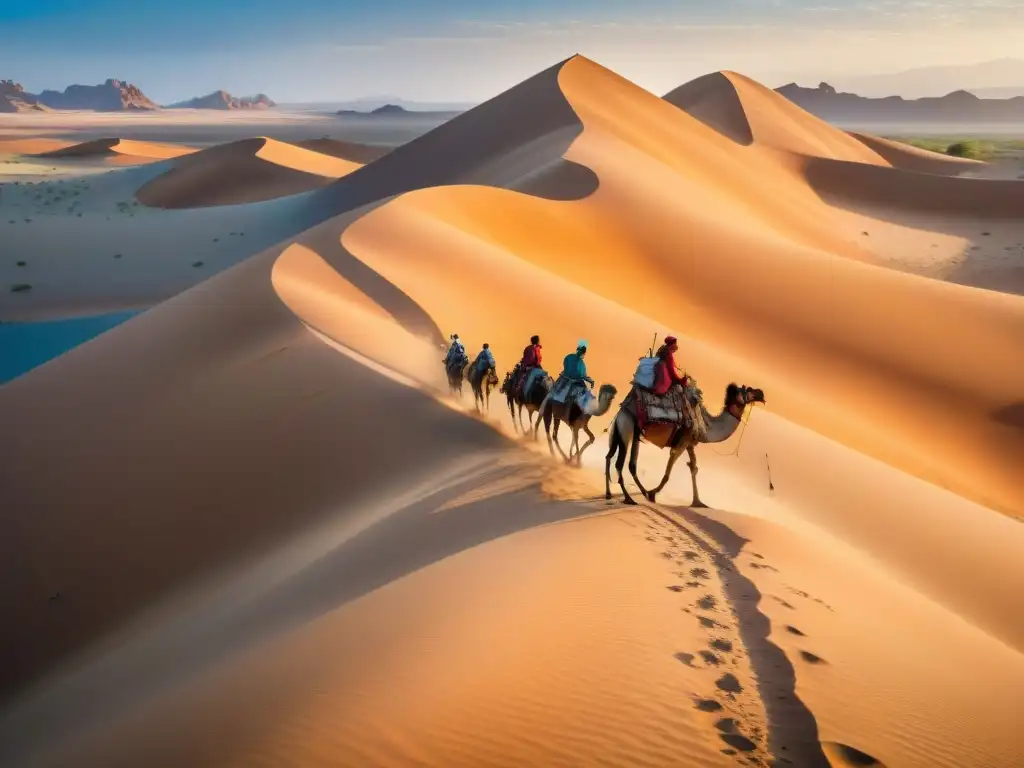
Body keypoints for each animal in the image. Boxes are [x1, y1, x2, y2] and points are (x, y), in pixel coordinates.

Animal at [602, 382, 765, 507]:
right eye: (748, 390)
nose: (761, 393)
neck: (706, 425)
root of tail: (623, 410)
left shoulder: (690, 443)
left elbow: (693, 467)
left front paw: (698, 502)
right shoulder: (683, 441)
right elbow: (668, 473)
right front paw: (654, 493)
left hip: (625, 431)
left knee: (619, 459)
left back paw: (616, 493)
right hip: (627, 428)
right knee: (619, 463)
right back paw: (630, 498)